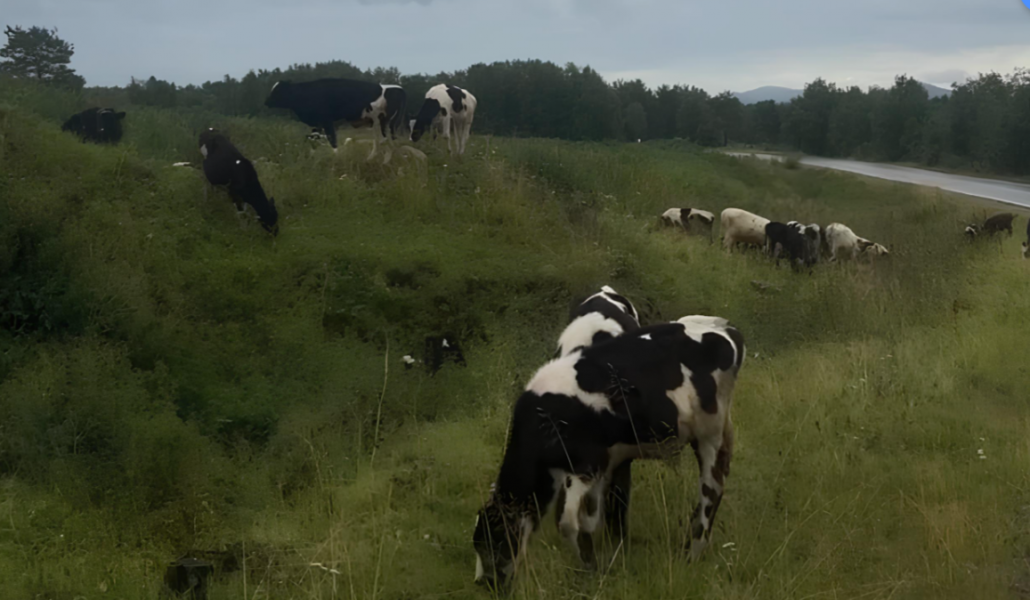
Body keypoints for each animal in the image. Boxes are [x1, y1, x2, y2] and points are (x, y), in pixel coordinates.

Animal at [264, 79, 407, 152]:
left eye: (277, 91)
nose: (266, 102)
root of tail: (398, 88)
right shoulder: (318, 124)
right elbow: (313, 138)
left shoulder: (327, 121)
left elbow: (332, 140)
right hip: (391, 123)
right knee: (391, 138)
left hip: (381, 120)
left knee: (383, 139)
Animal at [473, 316, 745, 590]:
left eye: (495, 539)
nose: (484, 583)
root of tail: (724, 326)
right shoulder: (602, 466)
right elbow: (589, 518)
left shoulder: (587, 464)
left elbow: (567, 521)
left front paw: (591, 569)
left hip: (711, 435)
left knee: (711, 490)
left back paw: (692, 553)